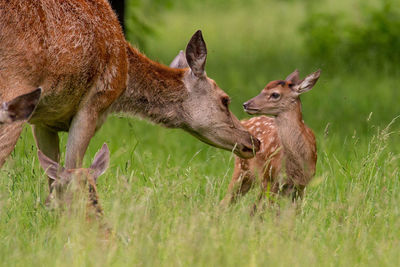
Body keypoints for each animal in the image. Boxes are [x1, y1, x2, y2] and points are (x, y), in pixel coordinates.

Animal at [0, 1, 260, 176]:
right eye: (225, 100)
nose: (254, 141)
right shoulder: (93, 105)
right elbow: (73, 170)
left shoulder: (44, 120)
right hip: (15, 88)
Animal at [220, 70, 320, 213]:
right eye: (262, 89)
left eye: (275, 94)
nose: (246, 104)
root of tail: (245, 121)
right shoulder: (271, 179)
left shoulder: (302, 185)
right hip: (244, 168)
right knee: (229, 202)